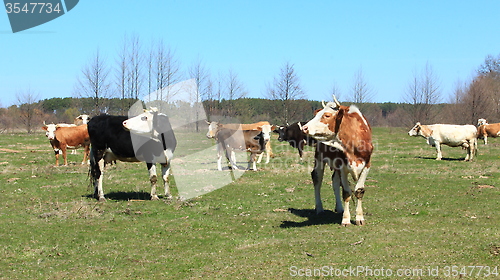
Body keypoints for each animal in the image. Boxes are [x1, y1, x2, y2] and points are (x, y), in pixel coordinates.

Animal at [300, 97, 372, 226]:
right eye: (317, 114)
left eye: (327, 115)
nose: (304, 128)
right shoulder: (343, 166)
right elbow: (347, 193)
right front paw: (346, 219)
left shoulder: (367, 166)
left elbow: (359, 191)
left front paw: (359, 218)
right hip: (319, 158)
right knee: (317, 179)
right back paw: (319, 208)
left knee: (334, 181)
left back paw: (339, 208)